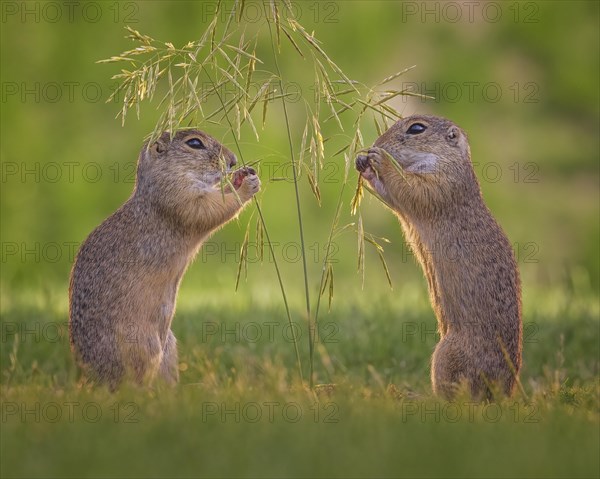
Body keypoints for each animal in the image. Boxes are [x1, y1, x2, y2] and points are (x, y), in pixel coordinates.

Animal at [68, 128, 260, 390]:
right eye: (194, 143)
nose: (233, 161)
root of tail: (89, 380)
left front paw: (242, 176)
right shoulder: (178, 197)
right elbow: (210, 208)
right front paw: (248, 184)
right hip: (141, 346)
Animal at [356, 114, 520, 400]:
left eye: (416, 128)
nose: (376, 143)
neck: (448, 160)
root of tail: (501, 393)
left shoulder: (441, 182)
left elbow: (410, 188)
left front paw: (379, 158)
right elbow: (394, 196)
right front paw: (363, 164)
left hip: (446, 354)